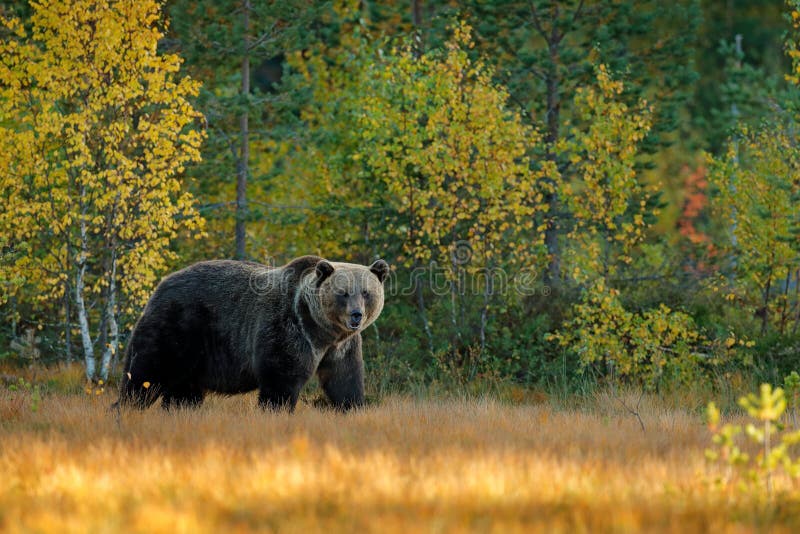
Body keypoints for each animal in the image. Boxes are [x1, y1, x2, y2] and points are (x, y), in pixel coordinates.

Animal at [117, 258, 390, 412]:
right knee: (146, 375)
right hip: (178, 326)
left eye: (366, 292)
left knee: (183, 391)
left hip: (194, 353)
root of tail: (159, 286)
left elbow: (345, 379)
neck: (322, 330)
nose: (356, 315)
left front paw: (351, 407)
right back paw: (125, 407)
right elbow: (281, 377)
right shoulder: (288, 328)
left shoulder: (342, 346)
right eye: (343, 293)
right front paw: (275, 410)